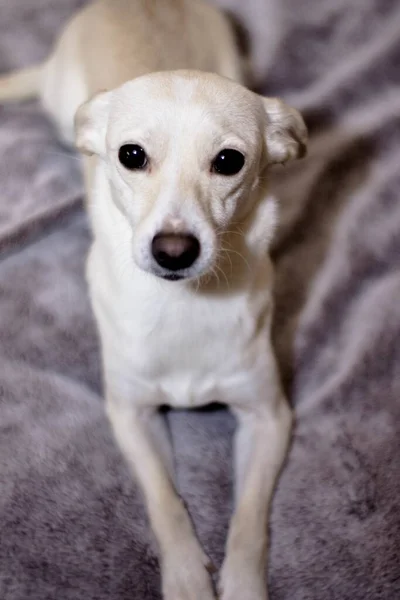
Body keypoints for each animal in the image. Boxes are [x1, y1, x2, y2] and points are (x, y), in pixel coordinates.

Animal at [0, 1, 306, 600]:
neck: (185, 301)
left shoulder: (268, 417)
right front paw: (187, 576)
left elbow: (248, 519)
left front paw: (240, 584)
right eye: (132, 155)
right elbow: (164, 499)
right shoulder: (130, 414)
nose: (174, 250)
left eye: (229, 161)